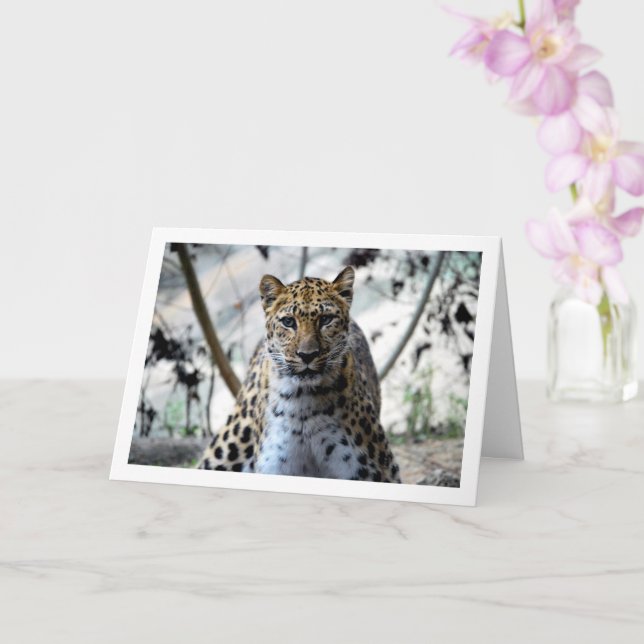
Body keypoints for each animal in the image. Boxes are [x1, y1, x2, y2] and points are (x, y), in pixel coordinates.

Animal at [198, 266, 401, 483]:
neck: (303, 405)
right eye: (288, 322)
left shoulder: (377, 471)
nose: (307, 355)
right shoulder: (274, 467)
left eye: (326, 319)